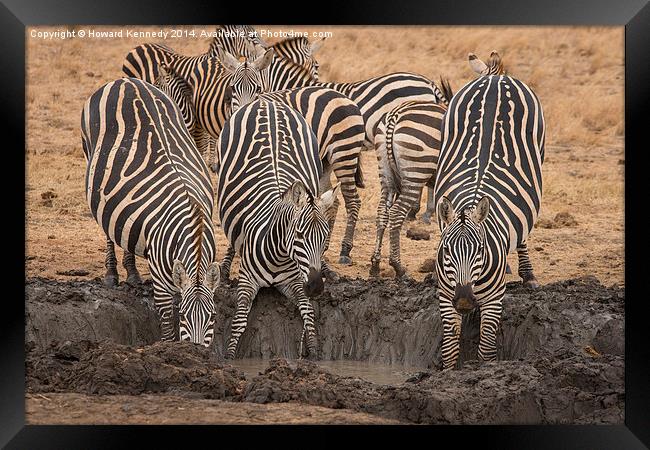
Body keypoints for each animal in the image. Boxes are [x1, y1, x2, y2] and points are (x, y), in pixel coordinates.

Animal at [80, 77, 220, 344]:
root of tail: (124, 81)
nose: (198, 351)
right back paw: (112, 274)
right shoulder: (160, 280)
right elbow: (166, 322)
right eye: (183, 315)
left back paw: (133, 272)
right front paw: (169, 347)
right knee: (108, 230)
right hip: (87, 153)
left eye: (212, 317)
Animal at [216, 98, 340, 358]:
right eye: (299, 235)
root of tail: (266, 102)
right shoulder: (246, 281)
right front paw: (229, 358)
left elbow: (309, 317)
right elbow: (238, 322)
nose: (316, 286)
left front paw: (314, 355)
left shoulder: (295, 283)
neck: (278, 255)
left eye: (325, 237)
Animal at [368, 82, 454, 278]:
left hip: (386, 173)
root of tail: (395, 115)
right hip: (416, 170)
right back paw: (398, 267)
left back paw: (375, 265)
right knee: (396, 213)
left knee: (382, 212)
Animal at [432, 67, 544, 370]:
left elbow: (486, 351)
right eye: (446, 250)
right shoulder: (445, 295)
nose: (464, 302)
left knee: (524, 235)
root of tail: (496, 78)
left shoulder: (494, 300)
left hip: (541, 150)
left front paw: (484, 373)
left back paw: (528, 274)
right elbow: (449, 349)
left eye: (480, 250)